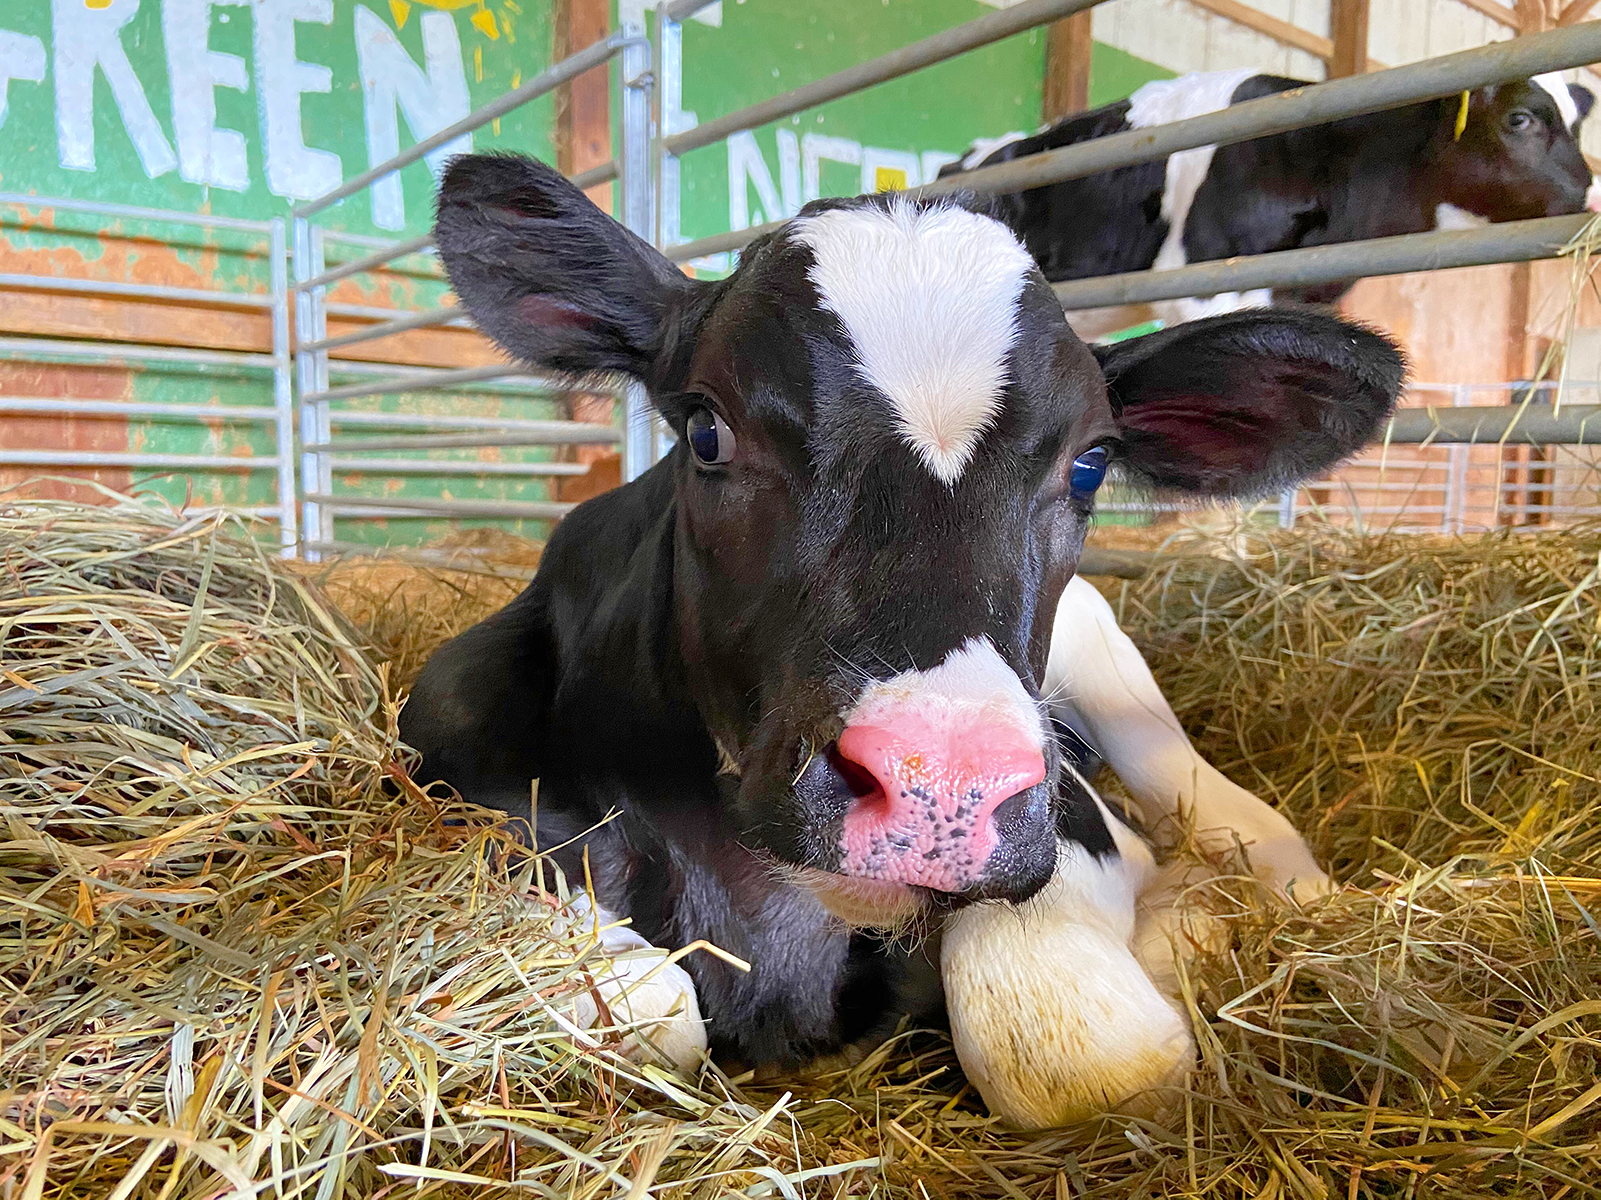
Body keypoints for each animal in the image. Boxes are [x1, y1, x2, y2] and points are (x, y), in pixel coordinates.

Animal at [401, 152, 1405, 1126]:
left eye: (1088, 465)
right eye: (707, 430)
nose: (941, 789)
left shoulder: (1068, 825)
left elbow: (1073, 1054)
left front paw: (1181, 928)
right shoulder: (446, 738)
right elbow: (639, 1011)